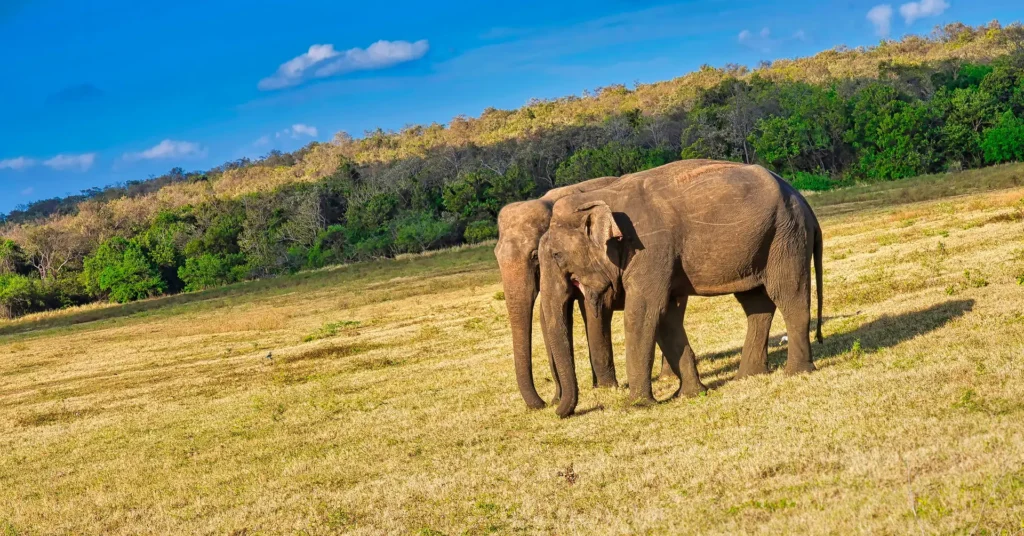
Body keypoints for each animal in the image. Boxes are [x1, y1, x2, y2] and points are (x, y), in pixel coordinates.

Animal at [495, 165, 723, 410]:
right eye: (496, 256)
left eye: (534, 256)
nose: (544, 403)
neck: (547, 201)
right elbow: (550, 318)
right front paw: (561, 396)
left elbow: (593, 310)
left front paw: (605, 388)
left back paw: (667, 377)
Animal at [538, 160, 824, 417]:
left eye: (557, 255)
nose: (556, 410)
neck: (600, 196)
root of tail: (805, 204)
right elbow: (665, 317)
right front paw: (690, 394)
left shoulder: (651, 250)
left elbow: (642, 314)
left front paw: (637, 406)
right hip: (761, 244)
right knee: (755, 303)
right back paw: (747, 376)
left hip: (787, 238)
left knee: (789, 295)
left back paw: (796, 372)